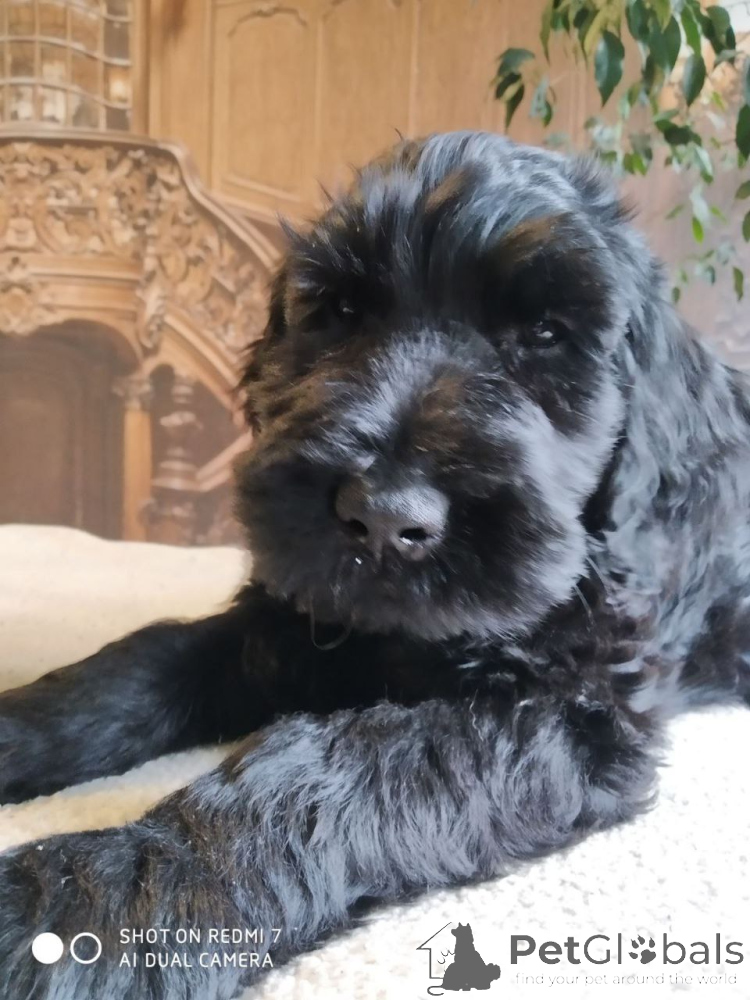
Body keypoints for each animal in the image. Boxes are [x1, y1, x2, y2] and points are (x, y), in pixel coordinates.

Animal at [1, 130, 749, 999]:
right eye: (343, 313)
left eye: (546, 334)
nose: (385, 516)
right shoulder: (288, 624)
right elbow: (133, 666)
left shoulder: (571, 712)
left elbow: (332, 766)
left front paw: (90, 899)